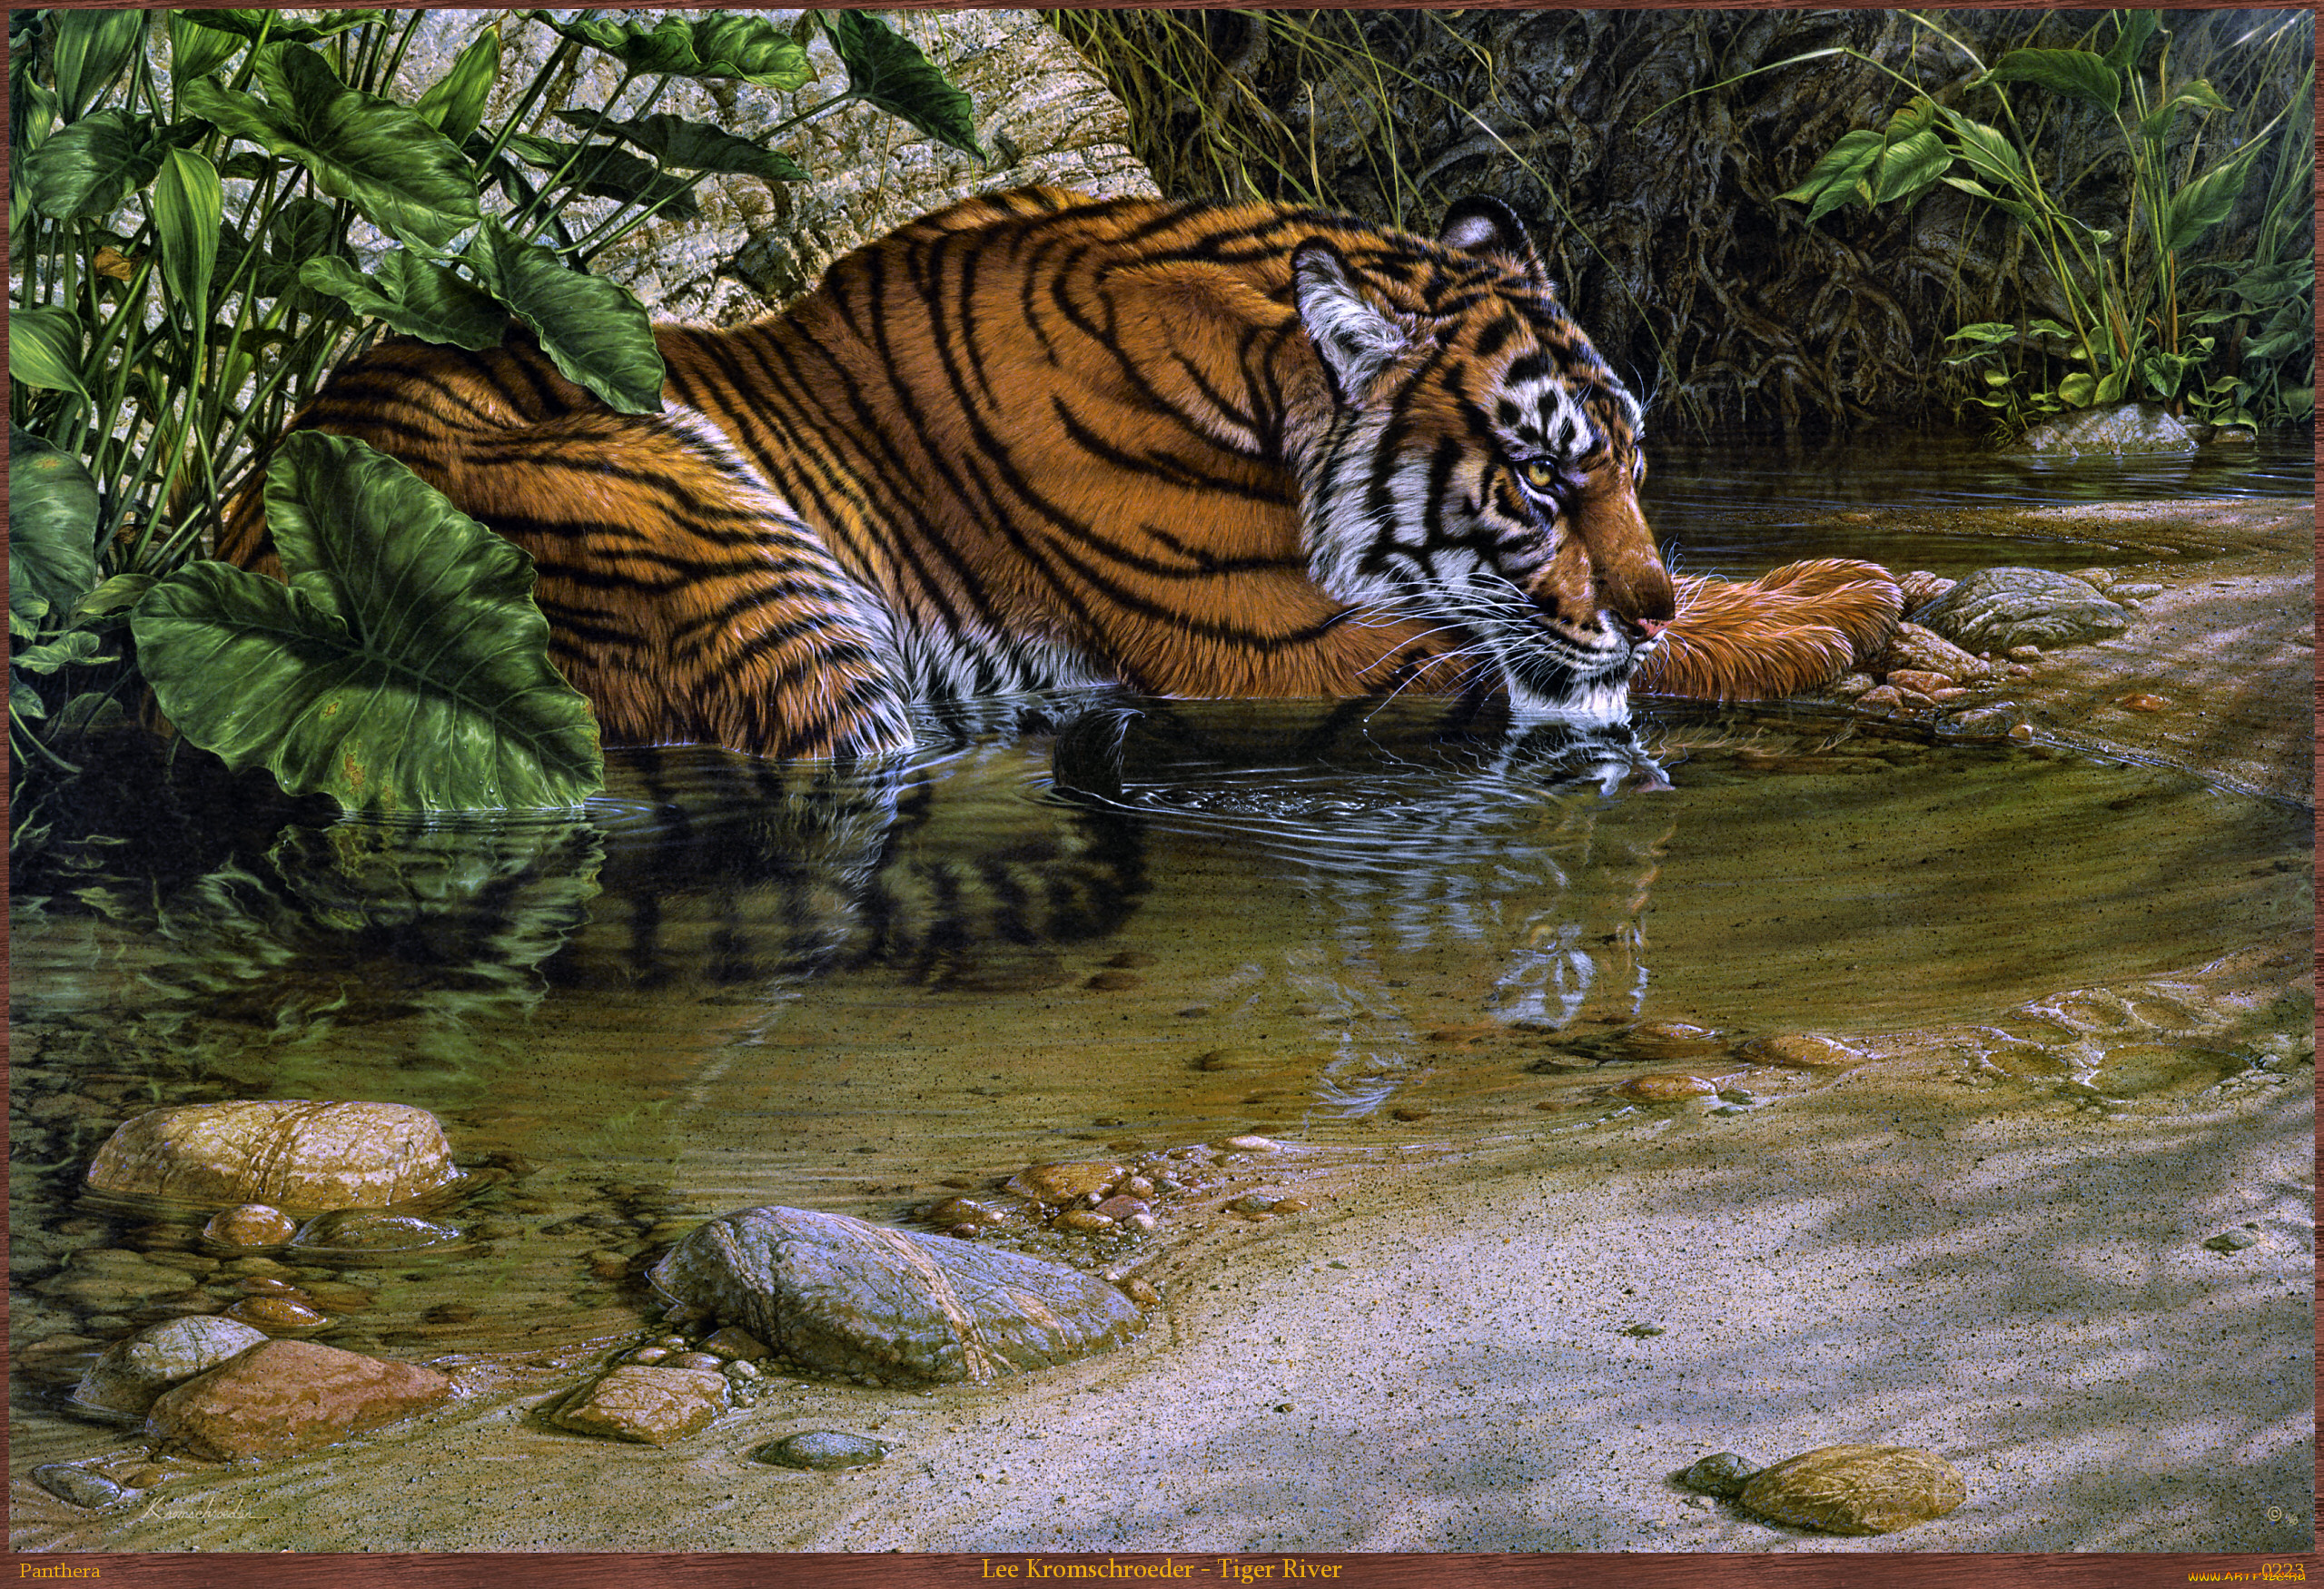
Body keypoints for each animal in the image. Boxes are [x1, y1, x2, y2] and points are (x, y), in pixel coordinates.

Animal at [222, 186, 1900, 760]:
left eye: (1632, 468)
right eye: (1544, 487)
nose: (1645, 592)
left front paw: (1839, 577)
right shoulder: (1300, 657)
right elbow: (1584, 659)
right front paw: (1825, 611)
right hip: (717, 545)